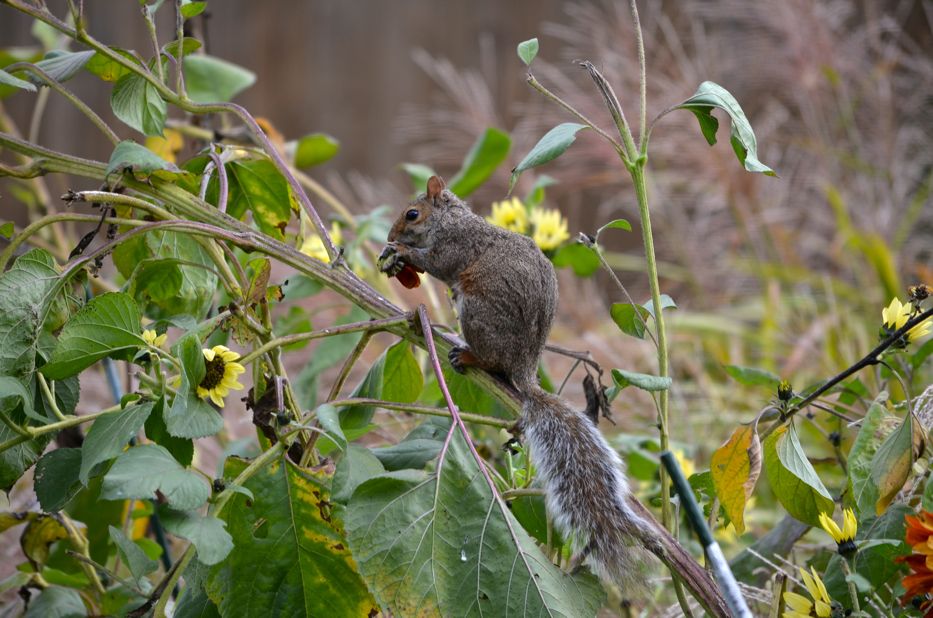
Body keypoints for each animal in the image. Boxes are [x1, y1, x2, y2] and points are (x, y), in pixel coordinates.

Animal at [377, 175, 654, 585]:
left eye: (412, 214)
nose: (391, 234)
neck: (453, 220)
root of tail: (524, 367)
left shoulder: (456, 247)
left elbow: (436, 262)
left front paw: (402, 252)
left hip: (477, 313)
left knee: (491, 357)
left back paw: (467, 355)